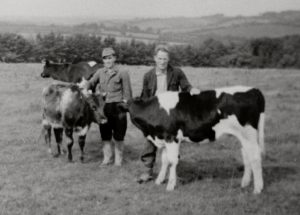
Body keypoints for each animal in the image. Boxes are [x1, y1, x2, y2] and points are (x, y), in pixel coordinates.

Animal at [123, 86, 264, 194]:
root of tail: (254, 90)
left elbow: (172, 161)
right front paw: (159, 181)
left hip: (249, 134)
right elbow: (164, 160)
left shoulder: (172, 137)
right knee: (247, 156)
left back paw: (257, 189)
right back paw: (245, 183)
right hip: (243, 137)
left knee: (255, 158)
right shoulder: (164, 138)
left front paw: (170, 186)